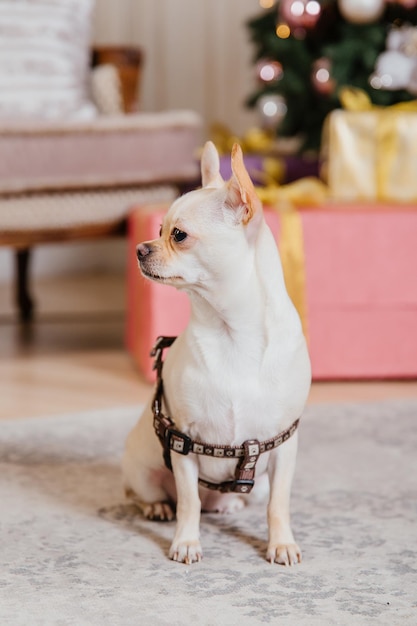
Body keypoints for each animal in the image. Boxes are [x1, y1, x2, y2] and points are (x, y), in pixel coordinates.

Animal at [122, 143, 310, 564]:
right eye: (158, 230)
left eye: (178, 235)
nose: (140, 248)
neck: (232, 332)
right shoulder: (183, 444)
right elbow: (188, 502)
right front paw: (186, 543)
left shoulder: (283, 449)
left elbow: (279, 504)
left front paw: (281, 543)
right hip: (142, 468)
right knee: (153, 495)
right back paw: (157, 507)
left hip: (256, 483)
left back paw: (228, 504)